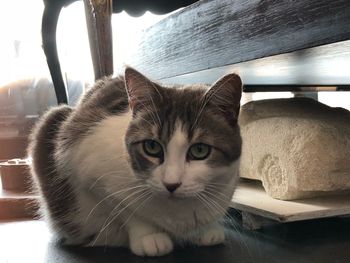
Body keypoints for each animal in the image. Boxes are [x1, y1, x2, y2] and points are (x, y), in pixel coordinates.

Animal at [28, 68, 242, 258]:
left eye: (200, 150)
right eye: (152, 147)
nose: (171, 184)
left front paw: (207, 230)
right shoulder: (87, 167)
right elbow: (125, 209)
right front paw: (150, 237)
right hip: (53, 122)